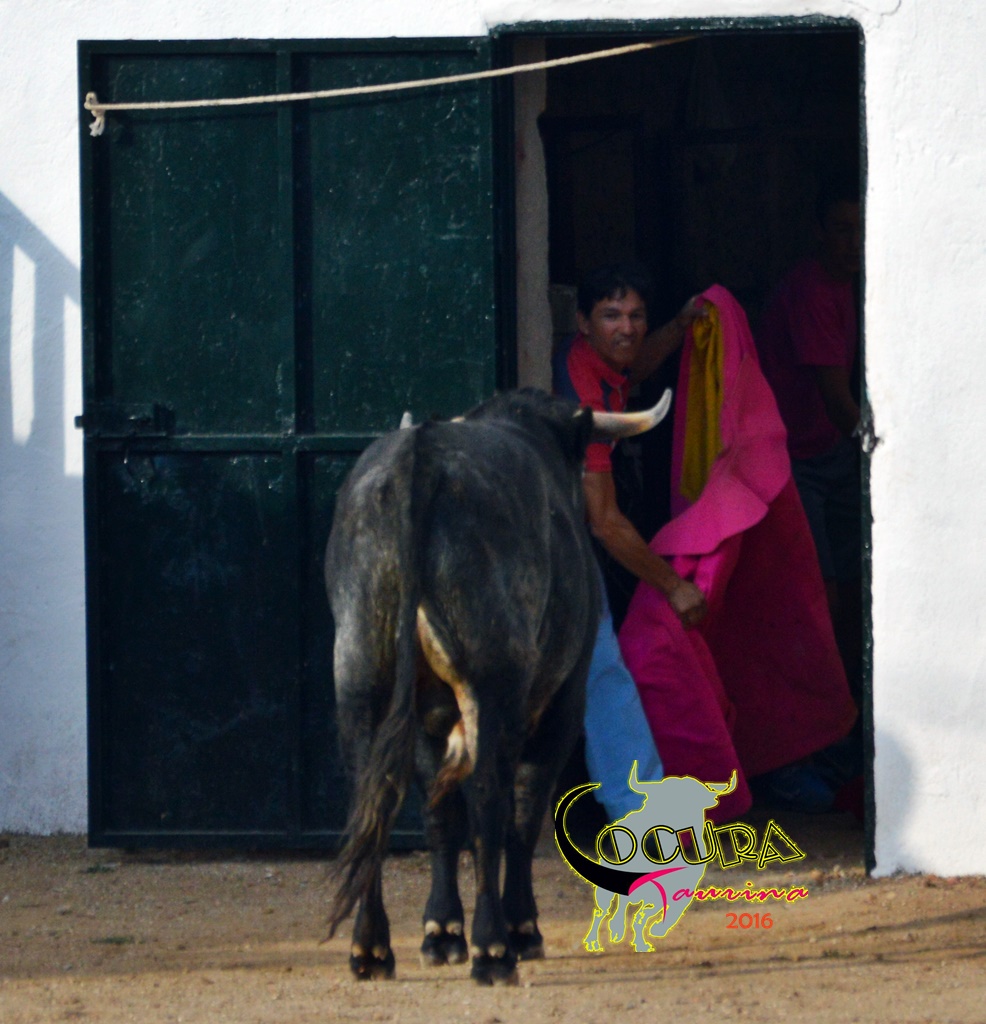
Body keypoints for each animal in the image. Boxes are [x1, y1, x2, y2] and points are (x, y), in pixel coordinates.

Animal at [324, 387, 670, 985]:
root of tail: (421, 455)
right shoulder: (562, 704)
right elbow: (522, 813)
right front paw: (519, 928)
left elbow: (441, 814)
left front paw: (441, 932)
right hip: (494, 680)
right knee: (490, 797)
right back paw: (493, 949)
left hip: (361, 676)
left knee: (372, 798)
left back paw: (371, 949)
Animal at [555, 763, 737, 951]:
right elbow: (638, 916)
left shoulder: (682, 888)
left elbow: (660, 913)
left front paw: (655, 931)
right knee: (602, 911)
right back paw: (595, 941)